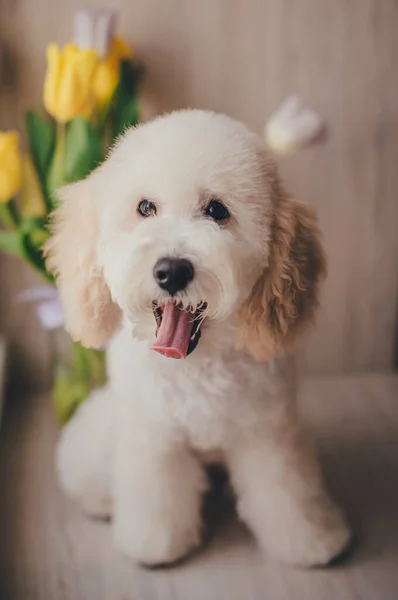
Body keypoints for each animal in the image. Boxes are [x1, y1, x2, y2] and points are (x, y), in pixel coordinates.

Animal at [45, 109, 352, 568]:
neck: (197, 363)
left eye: (217, 210)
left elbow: (288, 492)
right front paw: (154, 544)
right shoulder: (155, 437)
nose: (172, 270)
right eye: (145, 208)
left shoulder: (268, 433)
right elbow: (156, 493)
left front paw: (312, 540)